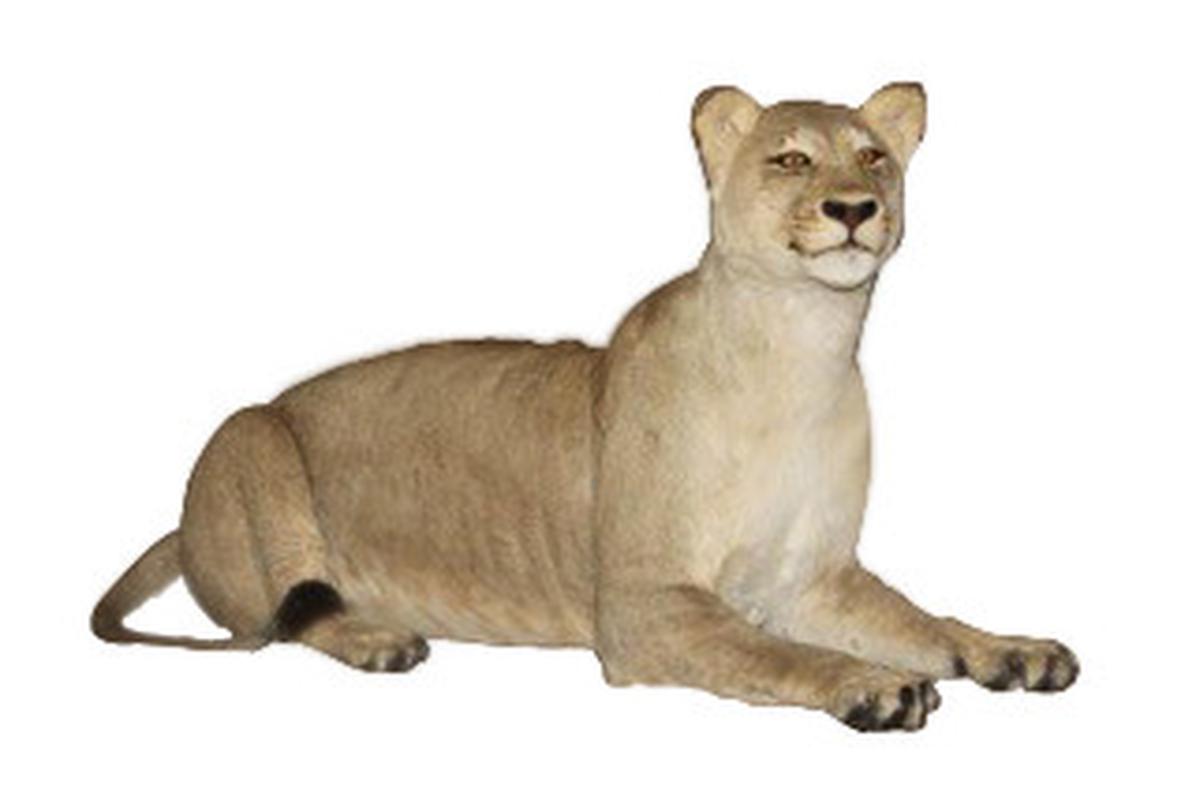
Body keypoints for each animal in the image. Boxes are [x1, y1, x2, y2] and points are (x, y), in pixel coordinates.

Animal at [93, 83, 1078, 731]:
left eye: (872, 154)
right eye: (792, 158)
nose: (853, 208)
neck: (805, 345)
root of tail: (181, 525)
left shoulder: (814, 578)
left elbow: (923, 621)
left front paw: (1012, 649)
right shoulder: (644, 605)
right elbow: (774, 654)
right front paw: (869, 684)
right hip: (251, 428)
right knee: (284, 613)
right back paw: (379, 638)